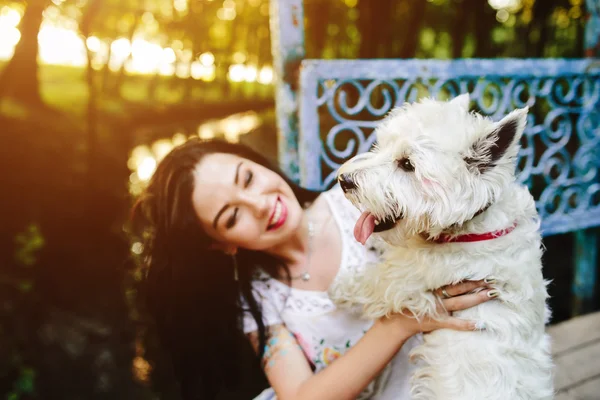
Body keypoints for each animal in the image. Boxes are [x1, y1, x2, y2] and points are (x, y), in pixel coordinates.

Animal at [332, 94, 552, 400]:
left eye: (407, 164)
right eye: (381, 145)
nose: (344, 180)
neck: (472, 225)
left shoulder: (413, 278)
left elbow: (377, 279)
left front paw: (339, 288)